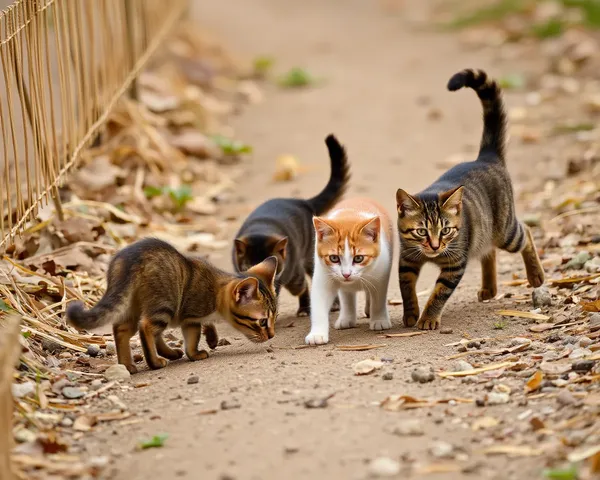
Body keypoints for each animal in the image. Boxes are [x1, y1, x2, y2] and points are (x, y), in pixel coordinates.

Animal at [66, 238, 278, 374]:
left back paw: (128, 365)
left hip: (131, 305)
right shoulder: (191, 315)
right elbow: (191, 338)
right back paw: (155, 362)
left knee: (122, 329)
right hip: (165, 303)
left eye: (274, 318)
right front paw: (195, 353)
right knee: (146, 327)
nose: (271, 335)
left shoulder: (190, 318)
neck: (217, 290)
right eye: (262, 321)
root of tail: (130, 258)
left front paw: (210, 338)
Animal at [232, 135, 350, 316]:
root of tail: (303, 202)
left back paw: (314, 307)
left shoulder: (286, 274)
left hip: (304, 263)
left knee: (308, 283)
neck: (261, 228)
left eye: (270, 266)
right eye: (249, 265)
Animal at [304, 199, 394, 344]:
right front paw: (317, 334)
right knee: (347, 295)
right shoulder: (323, 275)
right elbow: (319, 303)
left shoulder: (381, 274)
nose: (346, 274)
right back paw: (347, 318)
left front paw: (379, 320)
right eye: (334, 258)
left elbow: (378, 298)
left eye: (358, 258)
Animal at [396, 68, 548, 330]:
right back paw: (489, 288)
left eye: (446, 231)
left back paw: (535, 274)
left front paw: (428, 318)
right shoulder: (406, 260)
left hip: (506, 231)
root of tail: (486, 156)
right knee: (489, 251)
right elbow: (406, 289)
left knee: (526, 232)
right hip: (486, 231)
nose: (434, 246)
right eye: (421, 231)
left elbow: (438, 294)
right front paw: (411, 313)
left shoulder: (454, 266)